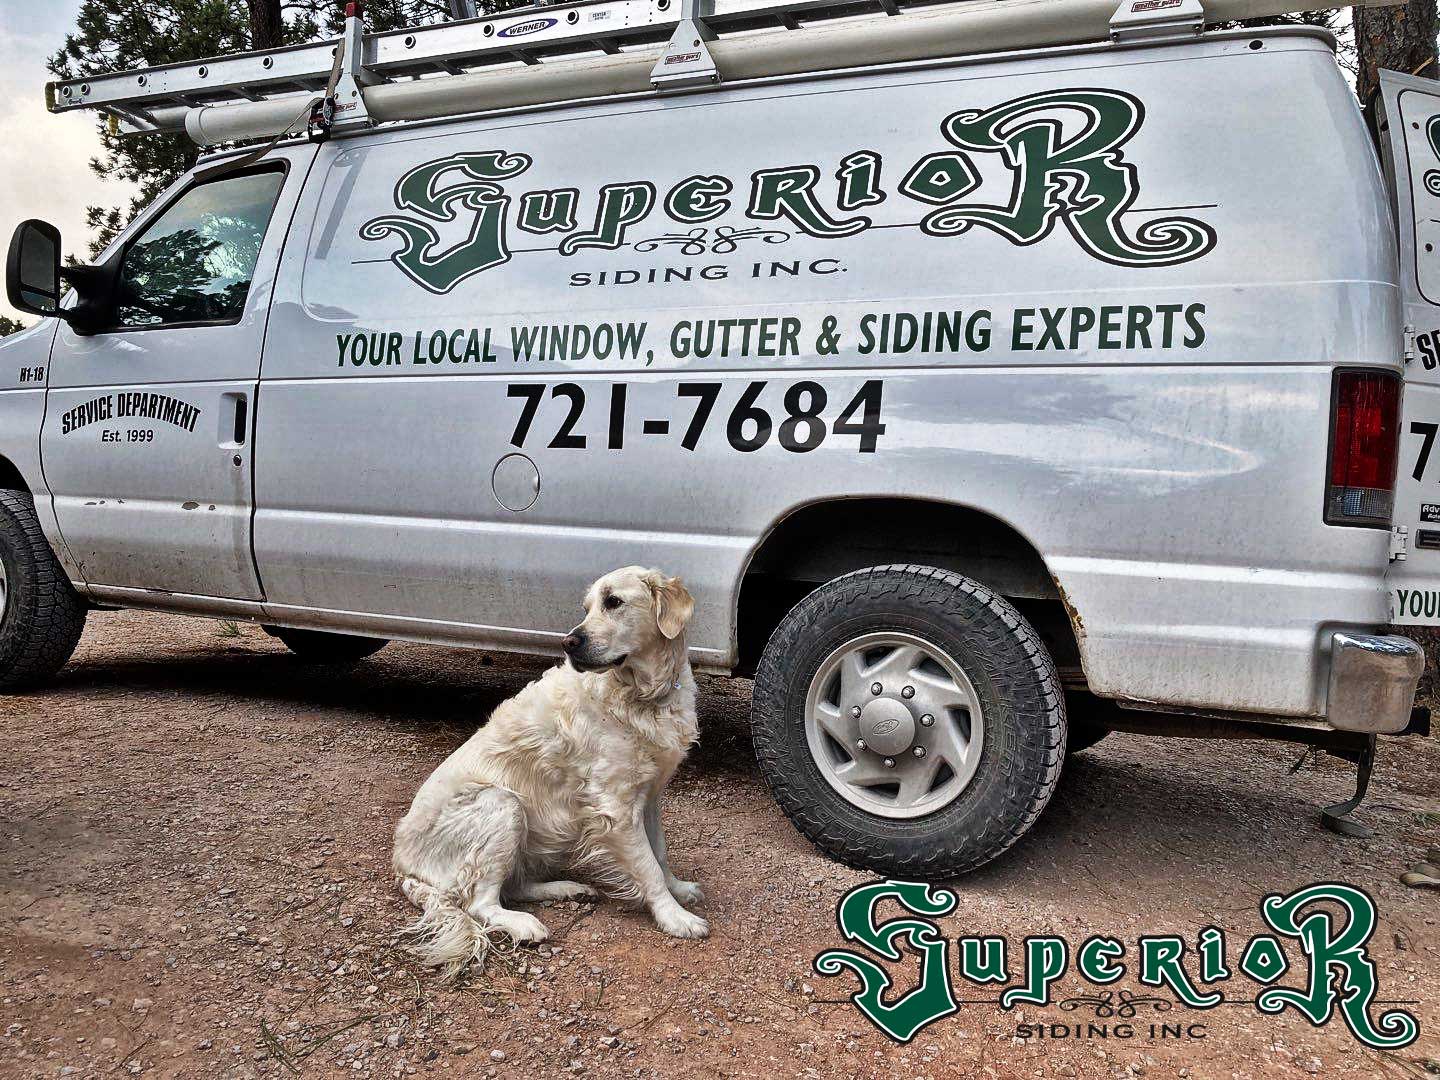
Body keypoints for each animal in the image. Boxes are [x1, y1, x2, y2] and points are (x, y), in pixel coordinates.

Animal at [394, 570, 708, 979]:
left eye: (613, 602)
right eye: (586, 608)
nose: (568, 643)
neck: (642, 695)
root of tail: (402, 863)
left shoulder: (649, 796)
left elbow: (661, 854)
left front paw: (679, 889)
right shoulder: (615, 810)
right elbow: (648, 868)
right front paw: (674, 917)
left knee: (513, 886)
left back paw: (565, 888)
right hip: (502, 804)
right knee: (480, 902)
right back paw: (524, 924)